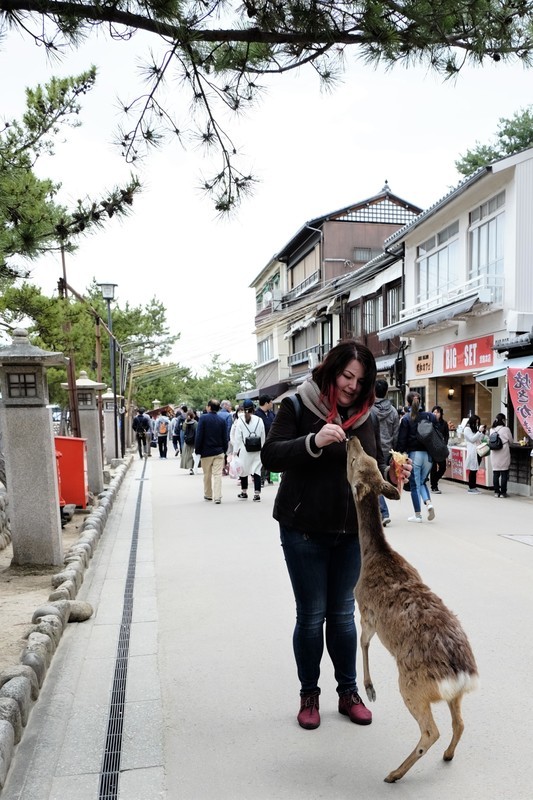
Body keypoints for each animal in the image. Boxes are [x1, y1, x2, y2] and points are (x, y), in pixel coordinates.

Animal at [344, 434, 478, 784]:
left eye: (355, 461)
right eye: (369, 460)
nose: (351, 437)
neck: (375, 556)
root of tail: (462, 675)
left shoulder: (365, 609)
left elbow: (362, 642)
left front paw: (370, 689)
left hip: (412, 685)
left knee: (431, 731)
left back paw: (394, 773)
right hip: (455, 695)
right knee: (459, 723)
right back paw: (447, 756)